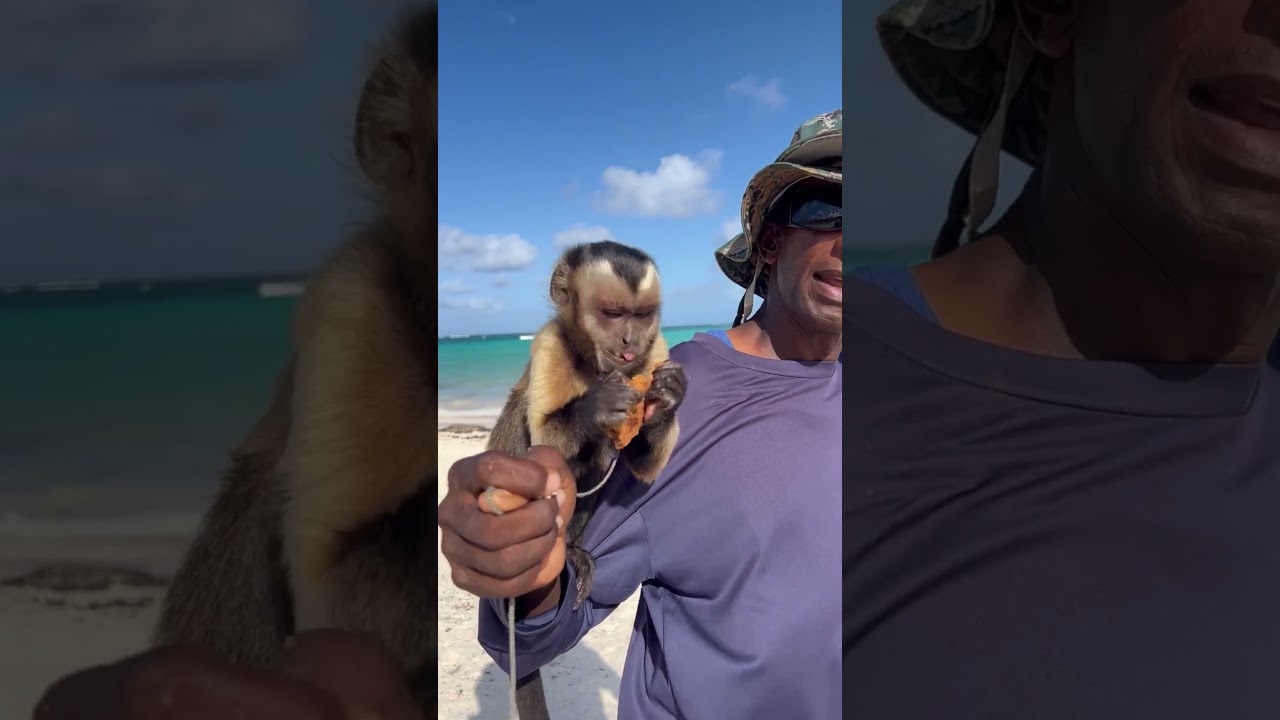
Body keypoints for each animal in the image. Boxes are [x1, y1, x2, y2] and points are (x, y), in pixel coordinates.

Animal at [484, 240, 689, 720]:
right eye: (613, 314)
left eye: (641, 314)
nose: (629, 342)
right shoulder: (549, 343)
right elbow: (544, 440)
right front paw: (597, 405)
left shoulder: (656, 351)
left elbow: (643, 465)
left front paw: (668, 397)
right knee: (523, 420)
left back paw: (571, 550)